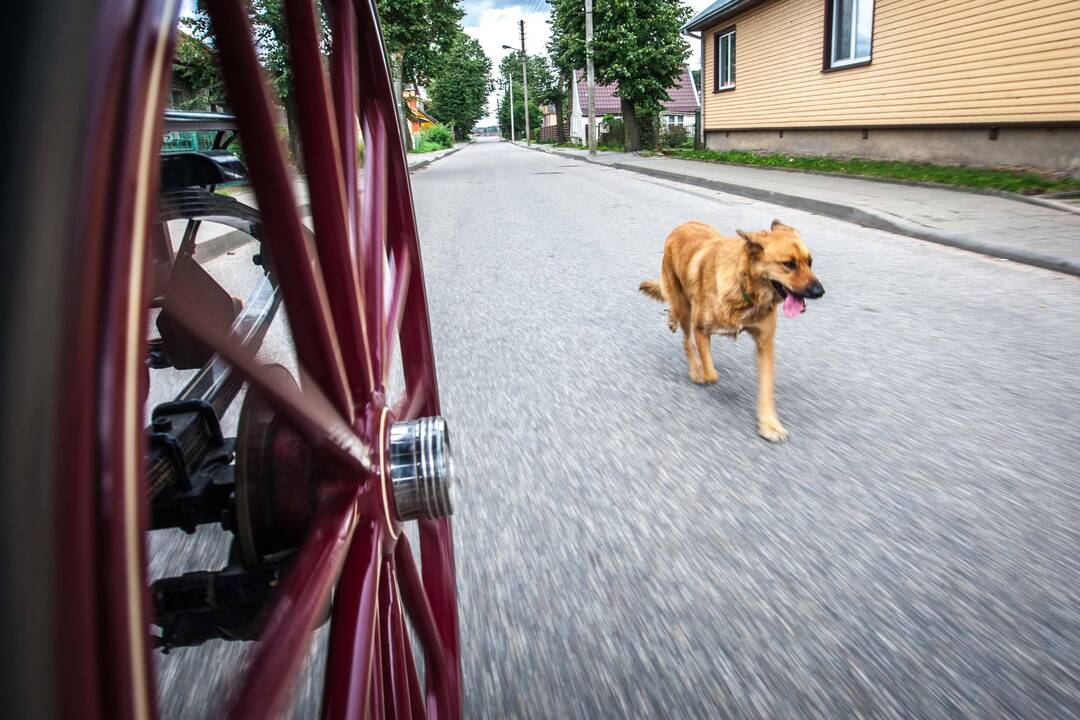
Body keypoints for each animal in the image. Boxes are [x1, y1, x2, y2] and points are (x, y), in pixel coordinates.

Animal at [635, 220, 820, 442]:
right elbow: (711, 373)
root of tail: (683, 225)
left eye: (809, 262)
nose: (820, 291)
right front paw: (702, 371)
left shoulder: (764, 343)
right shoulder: (700, 329)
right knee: (684, 335)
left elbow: (766, 388)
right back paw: (693, 364)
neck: (746, 287)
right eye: (789, 264)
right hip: (684, 307)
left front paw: (769, 424)